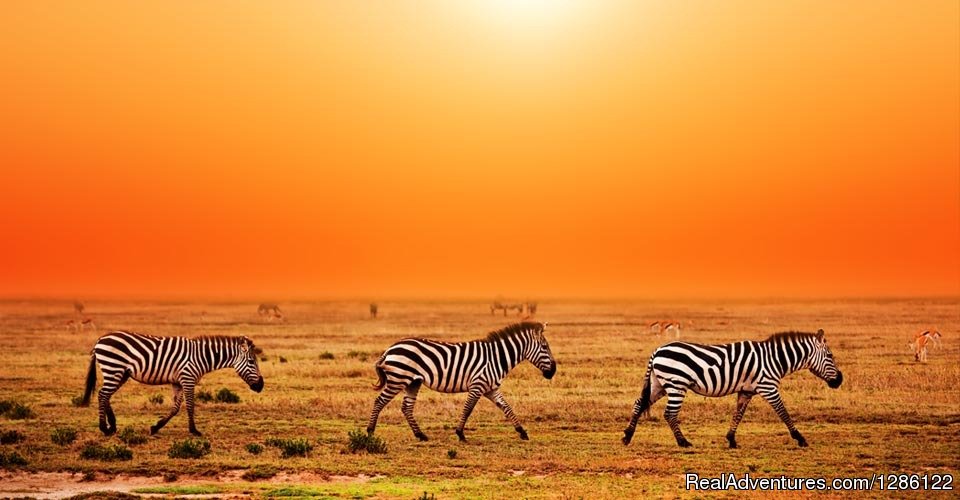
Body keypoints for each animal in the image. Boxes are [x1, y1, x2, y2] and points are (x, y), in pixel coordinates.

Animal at [79, 332, 264, 438]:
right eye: (251, 362)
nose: (261, 386)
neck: (202, 357)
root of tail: (100, 339)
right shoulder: (188, 378)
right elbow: (190, 406)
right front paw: (194, 431)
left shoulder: (178, 382)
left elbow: (175, 408)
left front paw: (156, 427)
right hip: (113, 368)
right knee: (103, 394)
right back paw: (104, 428)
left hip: (121, 373)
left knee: (106, 395)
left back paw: (112, 425)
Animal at [370, 320, 564, 442]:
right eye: (545, 347)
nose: (553, 372)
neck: (497, 358)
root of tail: (390, 348)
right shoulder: (478, 385)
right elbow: (468, 409)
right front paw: (460, 434)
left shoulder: (491, 388)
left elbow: (507, 408)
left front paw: (522, 432)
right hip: (398, 378)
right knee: (379, 401)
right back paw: (370, 431)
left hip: (413, 382)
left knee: (406, 407)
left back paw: (421, 435)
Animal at [624, 328, 840, 450]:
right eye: (830, 356)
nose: (839, 380)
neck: (775, 359)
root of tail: (658, 350)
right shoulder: (768, 387)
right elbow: (783, 413)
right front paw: (800, 439)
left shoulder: (746, 390)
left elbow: (738, 414)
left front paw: (731, 440)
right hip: (676, 384)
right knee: (669, 413)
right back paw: (683, 442)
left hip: (659, 384)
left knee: (639, 403)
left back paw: (627, 436)